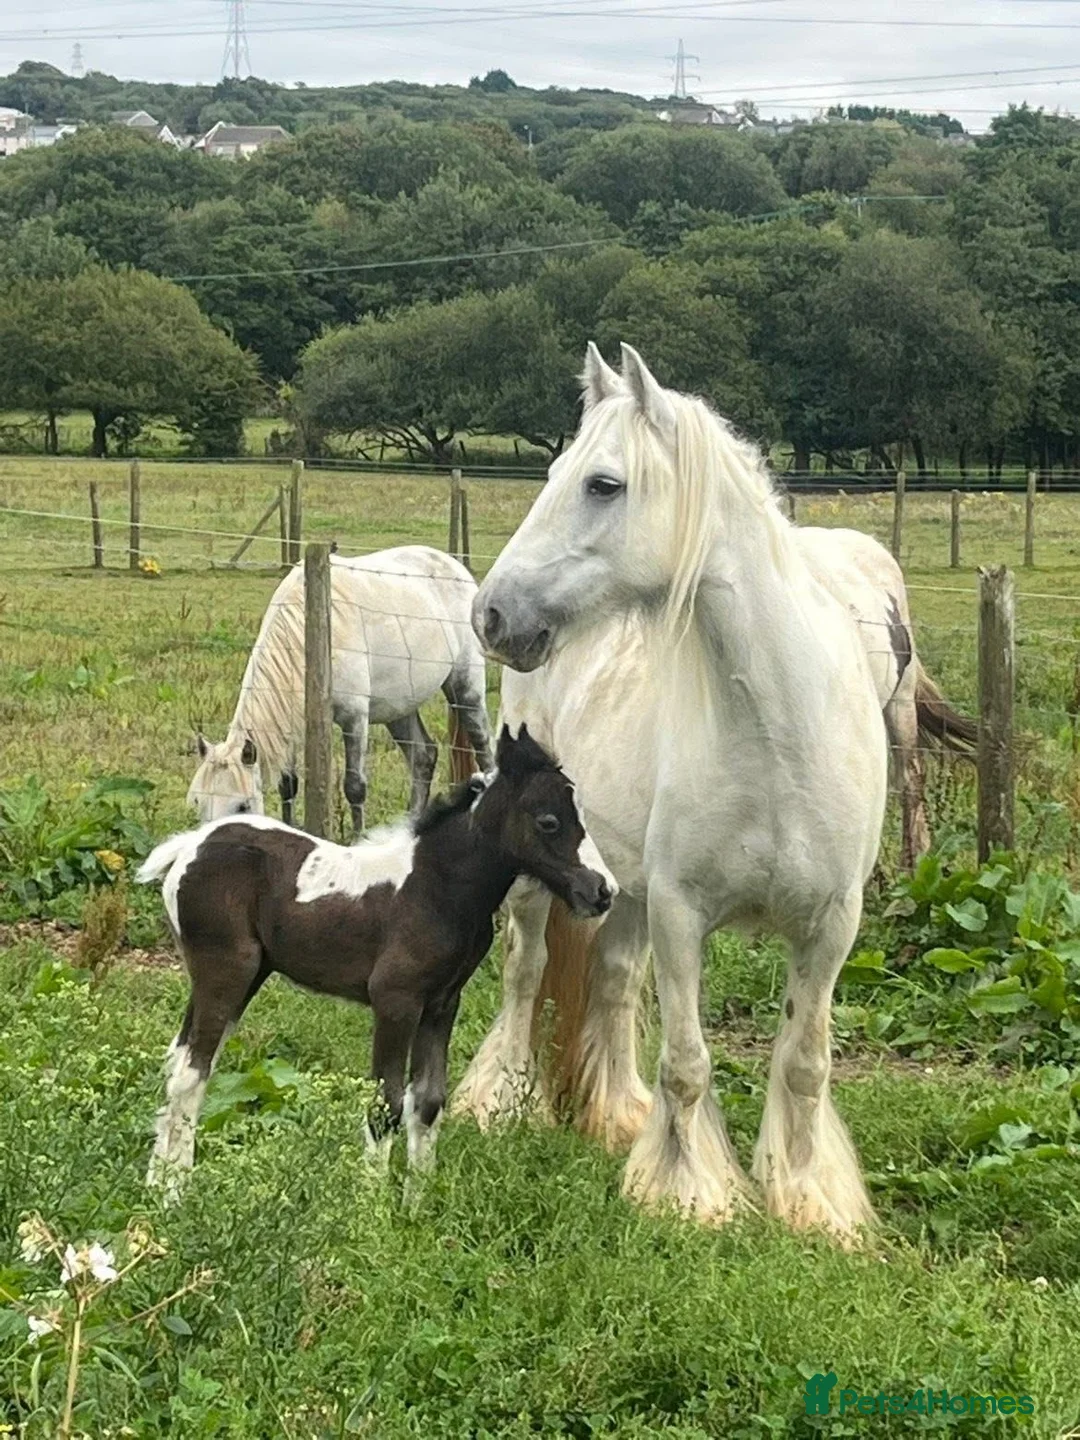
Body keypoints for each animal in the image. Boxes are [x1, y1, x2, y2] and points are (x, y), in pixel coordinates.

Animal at [138, 725, 614, 1195]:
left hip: (243, 976)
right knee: (192, 1074)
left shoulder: (441, 1005)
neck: (435, 886)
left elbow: (428, 1103)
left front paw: (415, 1204)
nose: (603, 890)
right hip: (225, 972)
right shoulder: (395, 1001)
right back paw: (173, 1196)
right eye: (549, 822)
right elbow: (386, 1104)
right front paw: (372, 1206)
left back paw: (157, 1184)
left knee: (182, 1061)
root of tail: (190, 847)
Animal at [188, 546, 493, 835]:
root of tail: (455, 567)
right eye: (200, 803)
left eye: (242, 806)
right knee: (423, 757)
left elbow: (354, 787)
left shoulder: (354, 718)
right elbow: (288, 785)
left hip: (465, 688)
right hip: (399, 707)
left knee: (483, 749)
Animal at [455, 348, 975, 1159]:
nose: (493, 613)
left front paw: (804, 1186)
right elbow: (688, 1066)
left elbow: (804, 1065)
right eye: (554, 471)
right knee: (526, 965)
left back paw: (613, 1113)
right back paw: (501, 1098)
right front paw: (684, 1181)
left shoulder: (831, 926)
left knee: (612, 979)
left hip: (623, 881)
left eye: (603, 484)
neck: (778, 736)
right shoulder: (680, 914)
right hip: (551, 874)